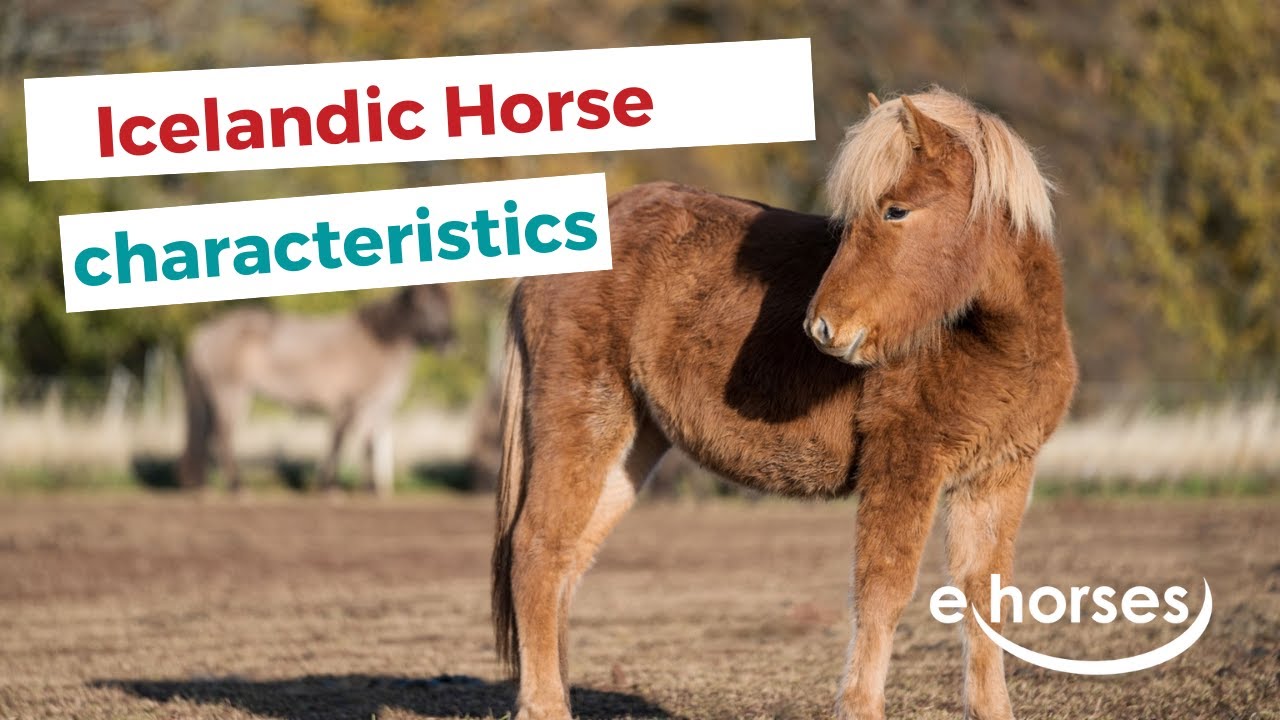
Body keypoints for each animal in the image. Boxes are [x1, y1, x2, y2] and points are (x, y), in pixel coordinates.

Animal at [179, 284, 454, 496]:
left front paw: (370, 490)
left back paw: (204, 486)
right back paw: (238, 487)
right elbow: (339, 442)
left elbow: (367, 445)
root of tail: (205, 333)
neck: (376, 341)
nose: (451, 341)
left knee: (207, 435)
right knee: (223, 436)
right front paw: (330, 488)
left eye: (448, 304)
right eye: (424, 307)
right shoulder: (349, 404)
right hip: (231, 392)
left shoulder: (371, 405)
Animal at [492, 88, 1076, 720]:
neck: (997, 344)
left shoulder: (998, 476)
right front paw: (860, 708)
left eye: (896, 211)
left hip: (631, 444)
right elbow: (883, 591)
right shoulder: (904, 467)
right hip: (582, 422)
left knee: (568, 562)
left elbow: (985, 598)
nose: (823, 328)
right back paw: (545, 706)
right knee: (536, 551)